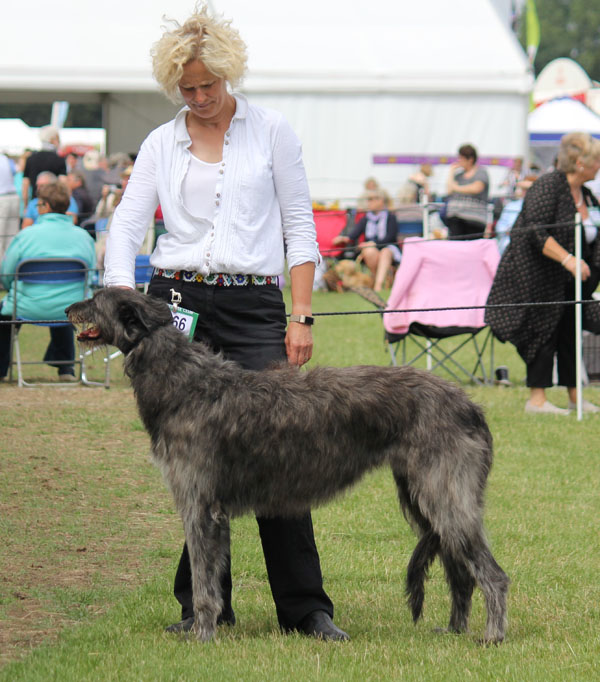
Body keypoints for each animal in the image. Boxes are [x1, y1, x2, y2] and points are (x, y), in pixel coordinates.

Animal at [67, 286, 506, 644]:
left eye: (95, 299)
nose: (69, 308)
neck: (183, 382)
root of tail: (469, 404)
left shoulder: (199, 506)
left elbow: (203, 582)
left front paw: (202, 635)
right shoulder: (214, 511)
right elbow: (212, 576)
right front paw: (206, 628)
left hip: (445, 495)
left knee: (493, 574)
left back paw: (492, 636)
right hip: (424, 496)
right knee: (461, 573)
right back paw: (454, 629)